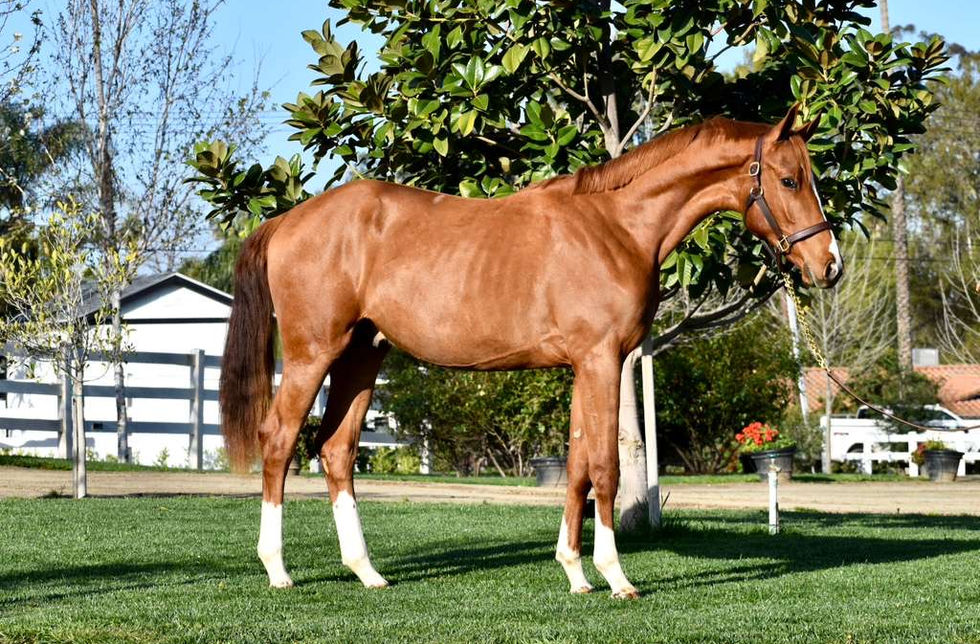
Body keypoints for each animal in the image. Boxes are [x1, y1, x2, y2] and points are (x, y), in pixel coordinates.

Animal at [219, 104, 843, 599]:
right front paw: (616, 577)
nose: (829, 265)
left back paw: (366, 571)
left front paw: (575, 572)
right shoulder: (600, 361)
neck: (617, 227)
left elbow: (578, 468)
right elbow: (606, 468)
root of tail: (286, 220)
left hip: (362, 355)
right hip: (313, 354)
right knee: (279, 442)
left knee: (336, 450)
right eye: (789, 180)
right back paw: (277, 570)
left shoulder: (585, 366)